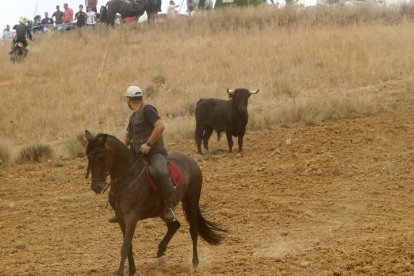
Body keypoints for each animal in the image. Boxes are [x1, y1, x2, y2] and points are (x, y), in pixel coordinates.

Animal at [84, 130, 225, 274]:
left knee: (193, 231)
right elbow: (128, 245)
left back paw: (195, 262)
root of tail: (191, 161)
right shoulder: (120, 217)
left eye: (102, 158)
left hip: (190, 202)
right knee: (174, 226)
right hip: (161, 211)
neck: (127, 179)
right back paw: (160, 252)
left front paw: (121, 272)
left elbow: (125, 247)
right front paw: (132, 270)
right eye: (88, 158)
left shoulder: (131, 217)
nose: (96, 187)